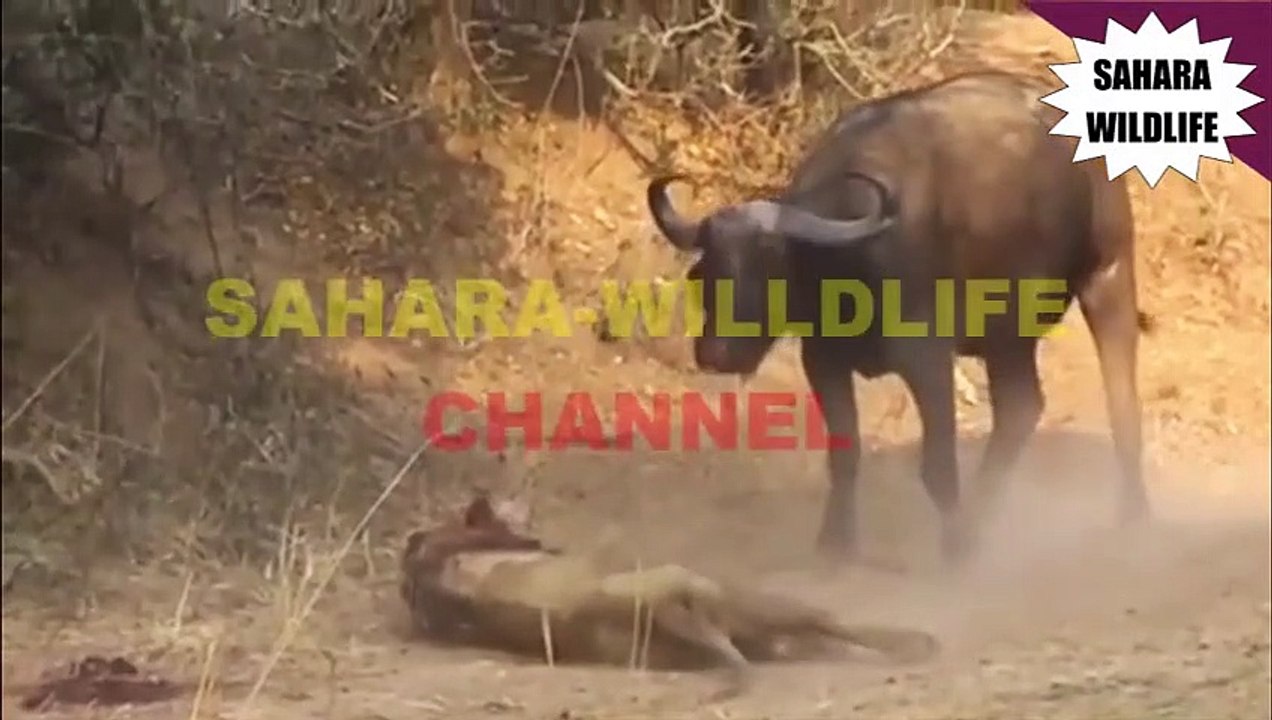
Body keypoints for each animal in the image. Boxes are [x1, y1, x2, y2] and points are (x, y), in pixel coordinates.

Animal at [646, 71, 1148, 564]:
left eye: (772, 269)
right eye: (704, 273)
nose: (716, 353)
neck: (849, 264)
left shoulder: (927, 360)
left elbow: (938, 465)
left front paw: (955, 546)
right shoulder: (822, 360)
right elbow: (844, 454)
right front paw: (836, 542)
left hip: (1106, 274)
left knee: (1118, 392)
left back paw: (1130, 513)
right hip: (1006, 334)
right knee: (1021, 407)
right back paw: (985, 514)